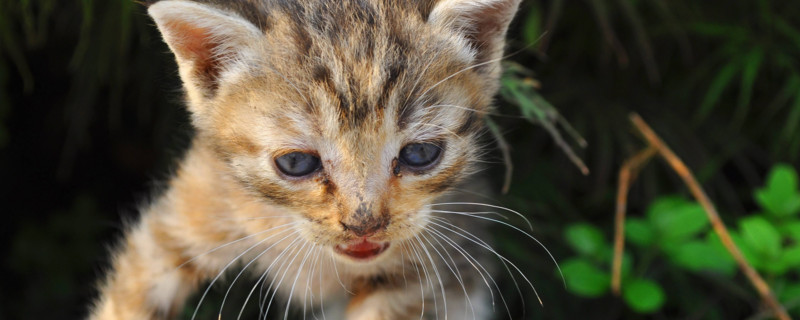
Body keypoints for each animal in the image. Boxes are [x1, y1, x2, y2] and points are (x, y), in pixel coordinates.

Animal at [89, 0, 524, 318]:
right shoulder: (190, 208)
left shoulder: (432, 265)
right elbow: (133, 290)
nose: (364, 224)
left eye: (420, 154)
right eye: (297, 163)